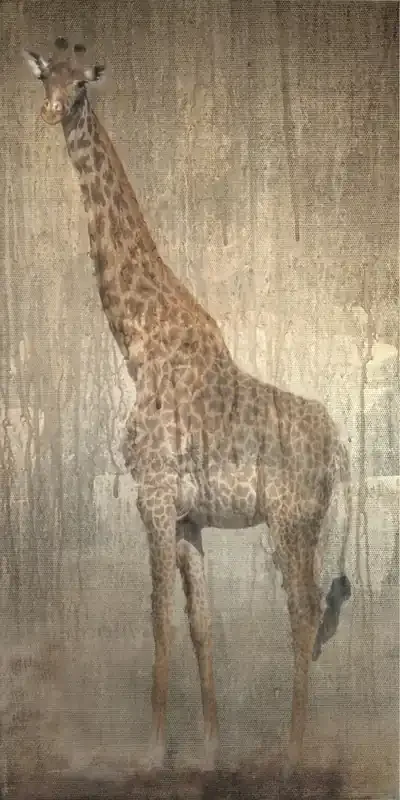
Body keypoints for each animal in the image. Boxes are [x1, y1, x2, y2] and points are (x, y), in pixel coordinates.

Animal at [23, 40, 352, 775]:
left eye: (82, 86)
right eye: (47, 77)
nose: (50, 110)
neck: (137, 344)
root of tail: (341, 448)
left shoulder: (151, 498)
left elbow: (158, 618)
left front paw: (153, 749)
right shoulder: (187, 517)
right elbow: (200, 621)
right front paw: (207, 746)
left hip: (289, 519)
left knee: (304, 612)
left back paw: (293, 751)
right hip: (302, 522)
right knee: (311, 610)